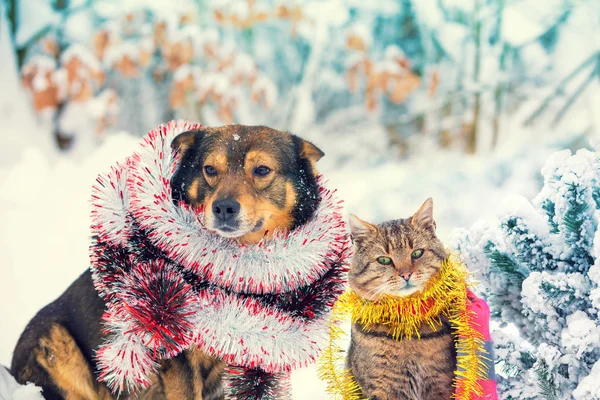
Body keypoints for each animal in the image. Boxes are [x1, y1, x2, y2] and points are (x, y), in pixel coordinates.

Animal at [10, 125, 328, 400]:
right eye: (210, 169)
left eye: (262, 170)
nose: (224, 208)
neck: (231, 272)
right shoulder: (177, 358)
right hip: (58, 345)